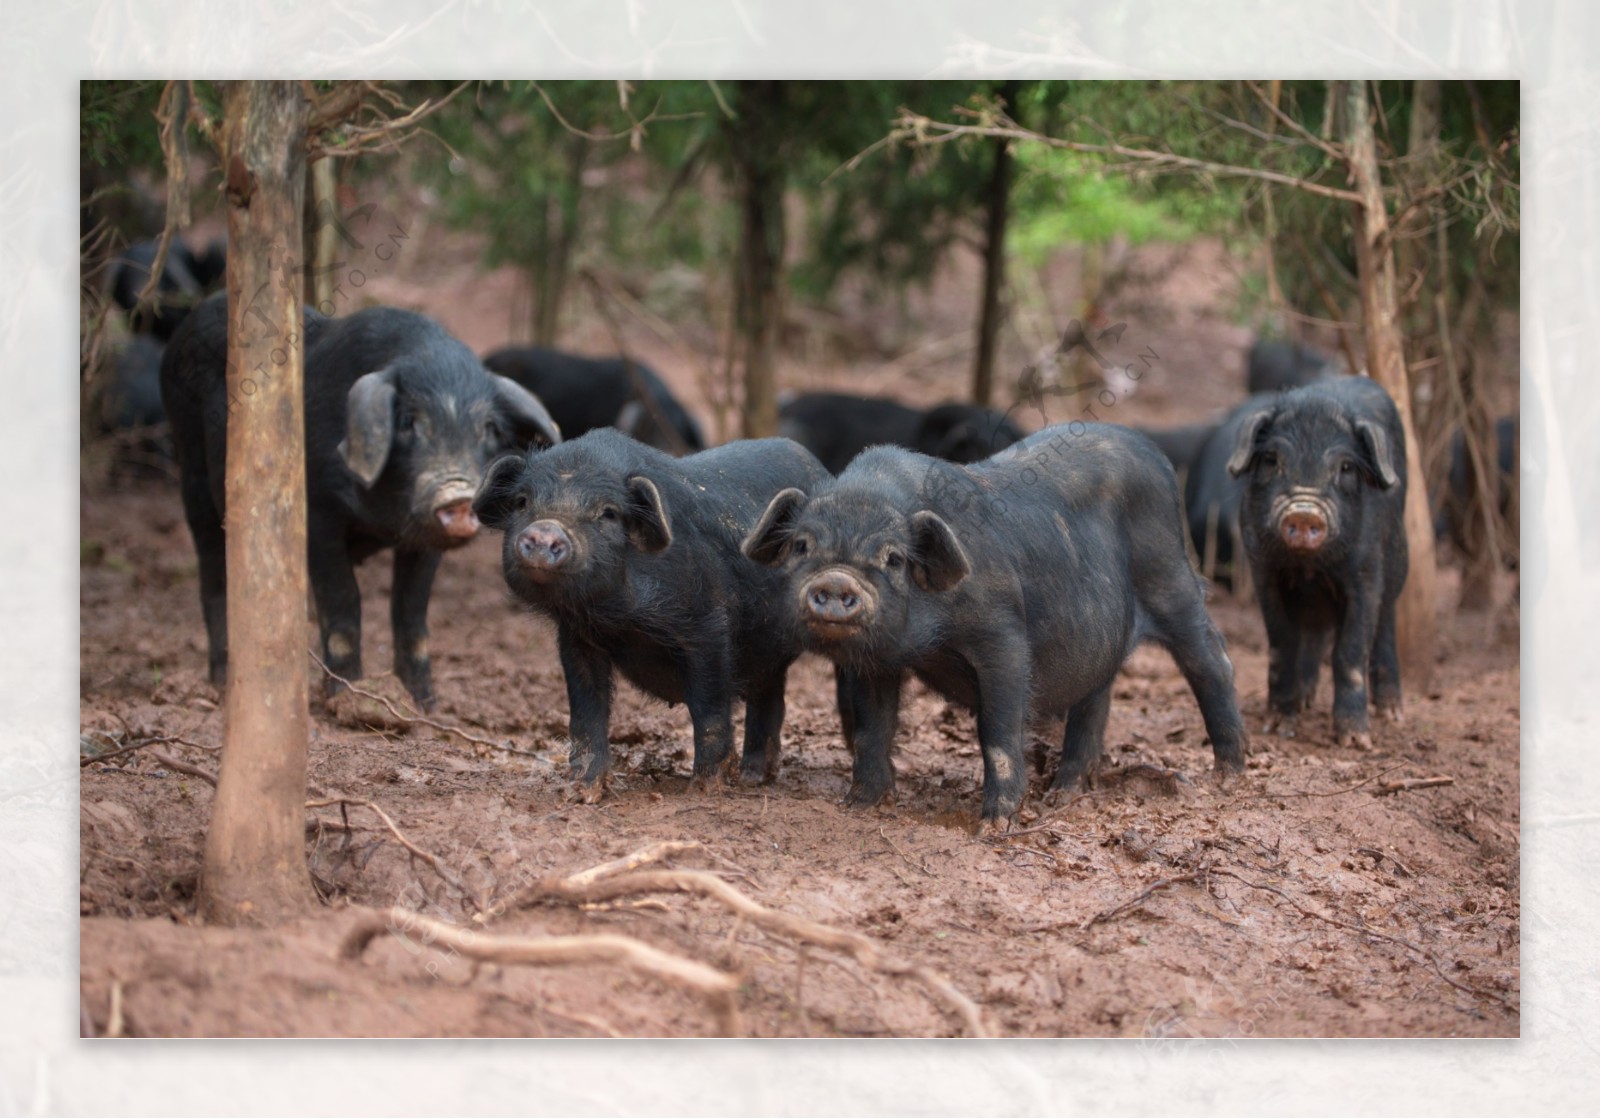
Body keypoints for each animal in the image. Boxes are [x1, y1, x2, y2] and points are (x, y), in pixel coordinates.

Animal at [164, 292, 563, 704]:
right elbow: (344, 603)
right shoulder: (318, 513)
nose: (458, 495)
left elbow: (410, 611)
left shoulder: (425, 541)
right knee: (213, 577)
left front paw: (424, 703)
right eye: (408, 422)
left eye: (488, 429)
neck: (383, 519)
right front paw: (345, 698)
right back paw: (220, 683)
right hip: (191, 467)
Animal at [470, 425, 825, 787]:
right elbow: (586, 709)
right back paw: (753, 776)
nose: (544, 531)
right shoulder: (577, 637)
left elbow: (709, 708)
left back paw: (750, 777)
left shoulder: (708, 627)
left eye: (608, 513)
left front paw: (704, 787)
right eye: (521, 501)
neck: (619, 617)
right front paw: (582, 789)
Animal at [745, 425, 1248, 826]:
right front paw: (860, 805)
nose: (835, 579)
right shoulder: (877, 661)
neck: (933, 640)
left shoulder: (1004, 637)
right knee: (1096, 699)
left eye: (893, 558)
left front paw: (995, 824)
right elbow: (873, 726)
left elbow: (998, 731)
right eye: (803, 545)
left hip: (1171, 578)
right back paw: (1064, 793)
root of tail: (1153, 452)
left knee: (1213, 662)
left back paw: (1229, 773)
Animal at [1222, 374, 1401, 742]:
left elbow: (1350, 650)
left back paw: (1392, 714)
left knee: (1385, 624)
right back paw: (1304, 702)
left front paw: (1354, 740)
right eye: (1272, 460)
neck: (1309, 567)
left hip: (1397, 565)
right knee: (1313, 632)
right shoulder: (1264, 572)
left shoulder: (1365, 575)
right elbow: (1281, 642)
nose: (1304, 512)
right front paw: (1277, 728)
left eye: (1345, 467)